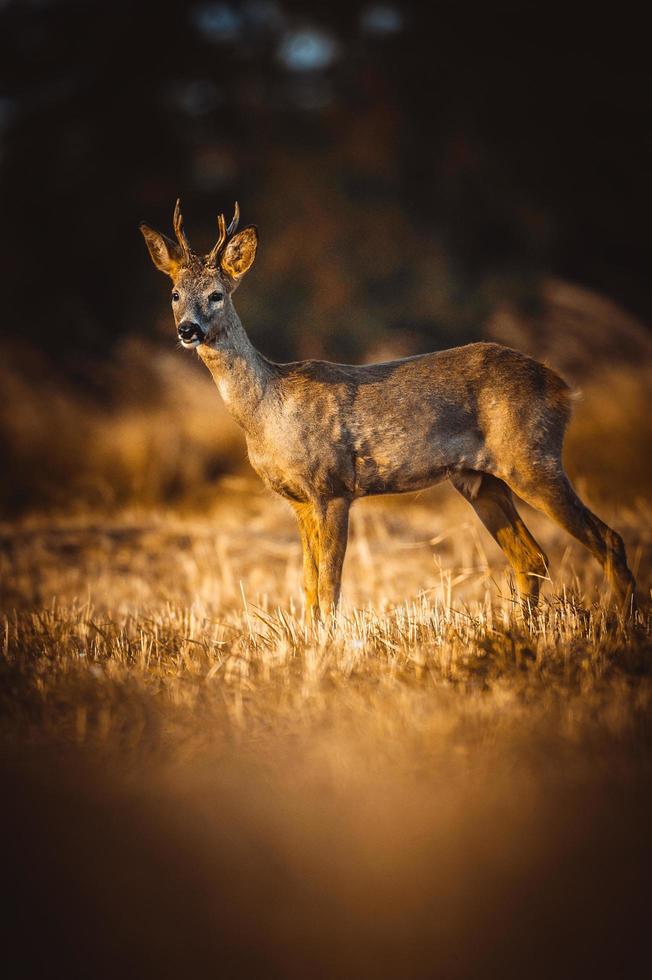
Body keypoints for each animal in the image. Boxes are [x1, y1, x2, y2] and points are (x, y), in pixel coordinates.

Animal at [141, 203, 636, 616]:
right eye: (174, 293)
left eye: (217, 294)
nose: (187, 330)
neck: (269, 411)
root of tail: (563, 387)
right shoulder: (298, 500)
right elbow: (307, 586)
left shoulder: (333, 487)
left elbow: (329, 587)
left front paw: (328, 648)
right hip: (481, 479)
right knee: (532, 558)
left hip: (532, 458)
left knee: (608, 539)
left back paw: (617, 627)